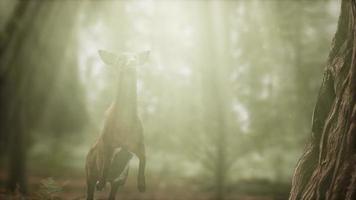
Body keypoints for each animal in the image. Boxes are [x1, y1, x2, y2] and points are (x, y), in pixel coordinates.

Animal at [86, 50, 149, 200]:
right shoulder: (106, 140)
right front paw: (101, 183)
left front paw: (142, 186)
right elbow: (106, 162)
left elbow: (144, 157)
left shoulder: (138, 142)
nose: (132, 62)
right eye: (120, 58)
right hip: (88, 174)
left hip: (116, 184)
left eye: (136, 56)